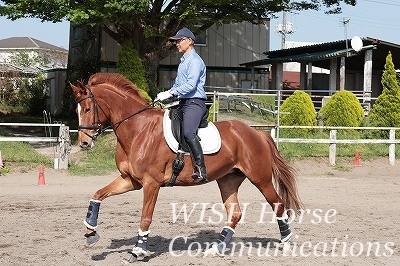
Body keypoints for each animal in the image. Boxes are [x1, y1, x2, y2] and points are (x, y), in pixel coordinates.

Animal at [72, 72, 302, 262]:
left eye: (88, 108)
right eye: (77, 110)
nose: (84, 143)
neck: (138, 129)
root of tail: (257, 133)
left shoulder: (151, 183)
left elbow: (146, 216)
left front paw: (137, 251)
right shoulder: (131, 180)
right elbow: (98, 194)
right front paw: (91, 231)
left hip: (260, 178)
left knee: (278, 205)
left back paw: (286, 244)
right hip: (228, 180)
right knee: (235, 213)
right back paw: (216, 249)